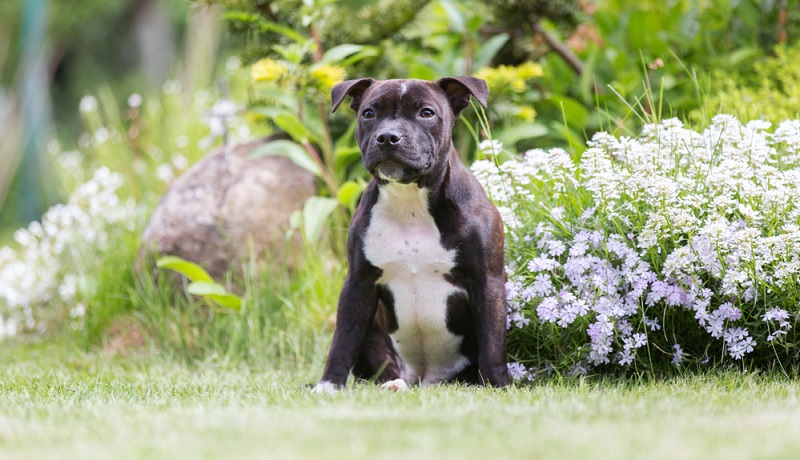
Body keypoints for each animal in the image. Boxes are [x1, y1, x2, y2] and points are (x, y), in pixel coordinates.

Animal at [312, 76, 506, 392]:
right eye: (369, 113)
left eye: (426, 113)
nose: (388, 137)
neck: (409, 201)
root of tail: (424, 379)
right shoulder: (358, 284)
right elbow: (342, 341)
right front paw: (329, 385)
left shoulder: (487, 282)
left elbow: (493, 344)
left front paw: (498, 385)